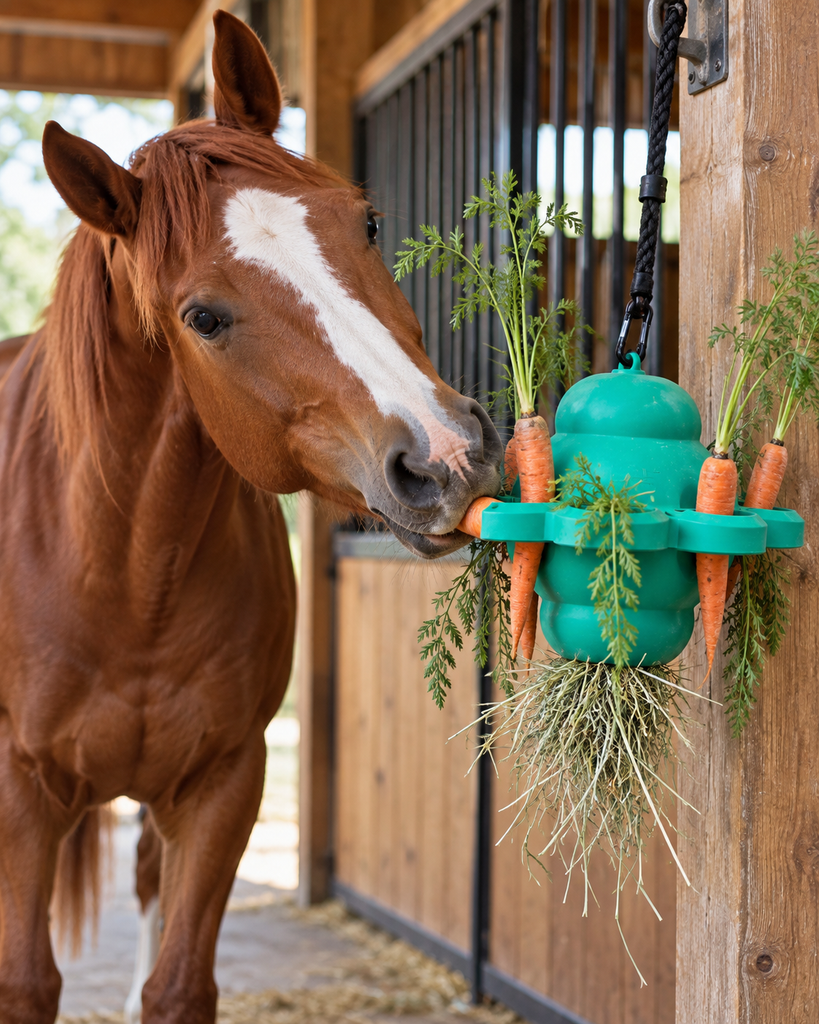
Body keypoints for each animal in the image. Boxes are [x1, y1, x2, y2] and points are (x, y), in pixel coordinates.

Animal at [0, 11, 502, 1024]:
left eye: (367, 221)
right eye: (202, 316)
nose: (446, 456)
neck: (117, 569)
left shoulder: (224, 784)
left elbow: (178, 985)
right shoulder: (22, 791)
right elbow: (26, 980)